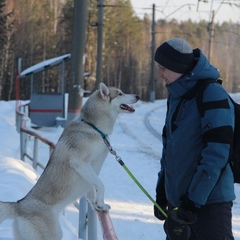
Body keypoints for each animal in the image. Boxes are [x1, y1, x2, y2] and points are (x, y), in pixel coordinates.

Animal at [0, 83, 139, 240]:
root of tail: (19, 205)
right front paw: (99, 203)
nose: (138, 96)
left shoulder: (92, 170)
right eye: (120, 93)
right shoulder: (80, 163)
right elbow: (101, 185)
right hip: (53, 234)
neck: (94, 128)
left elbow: (92, 190)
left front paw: (99, 205)